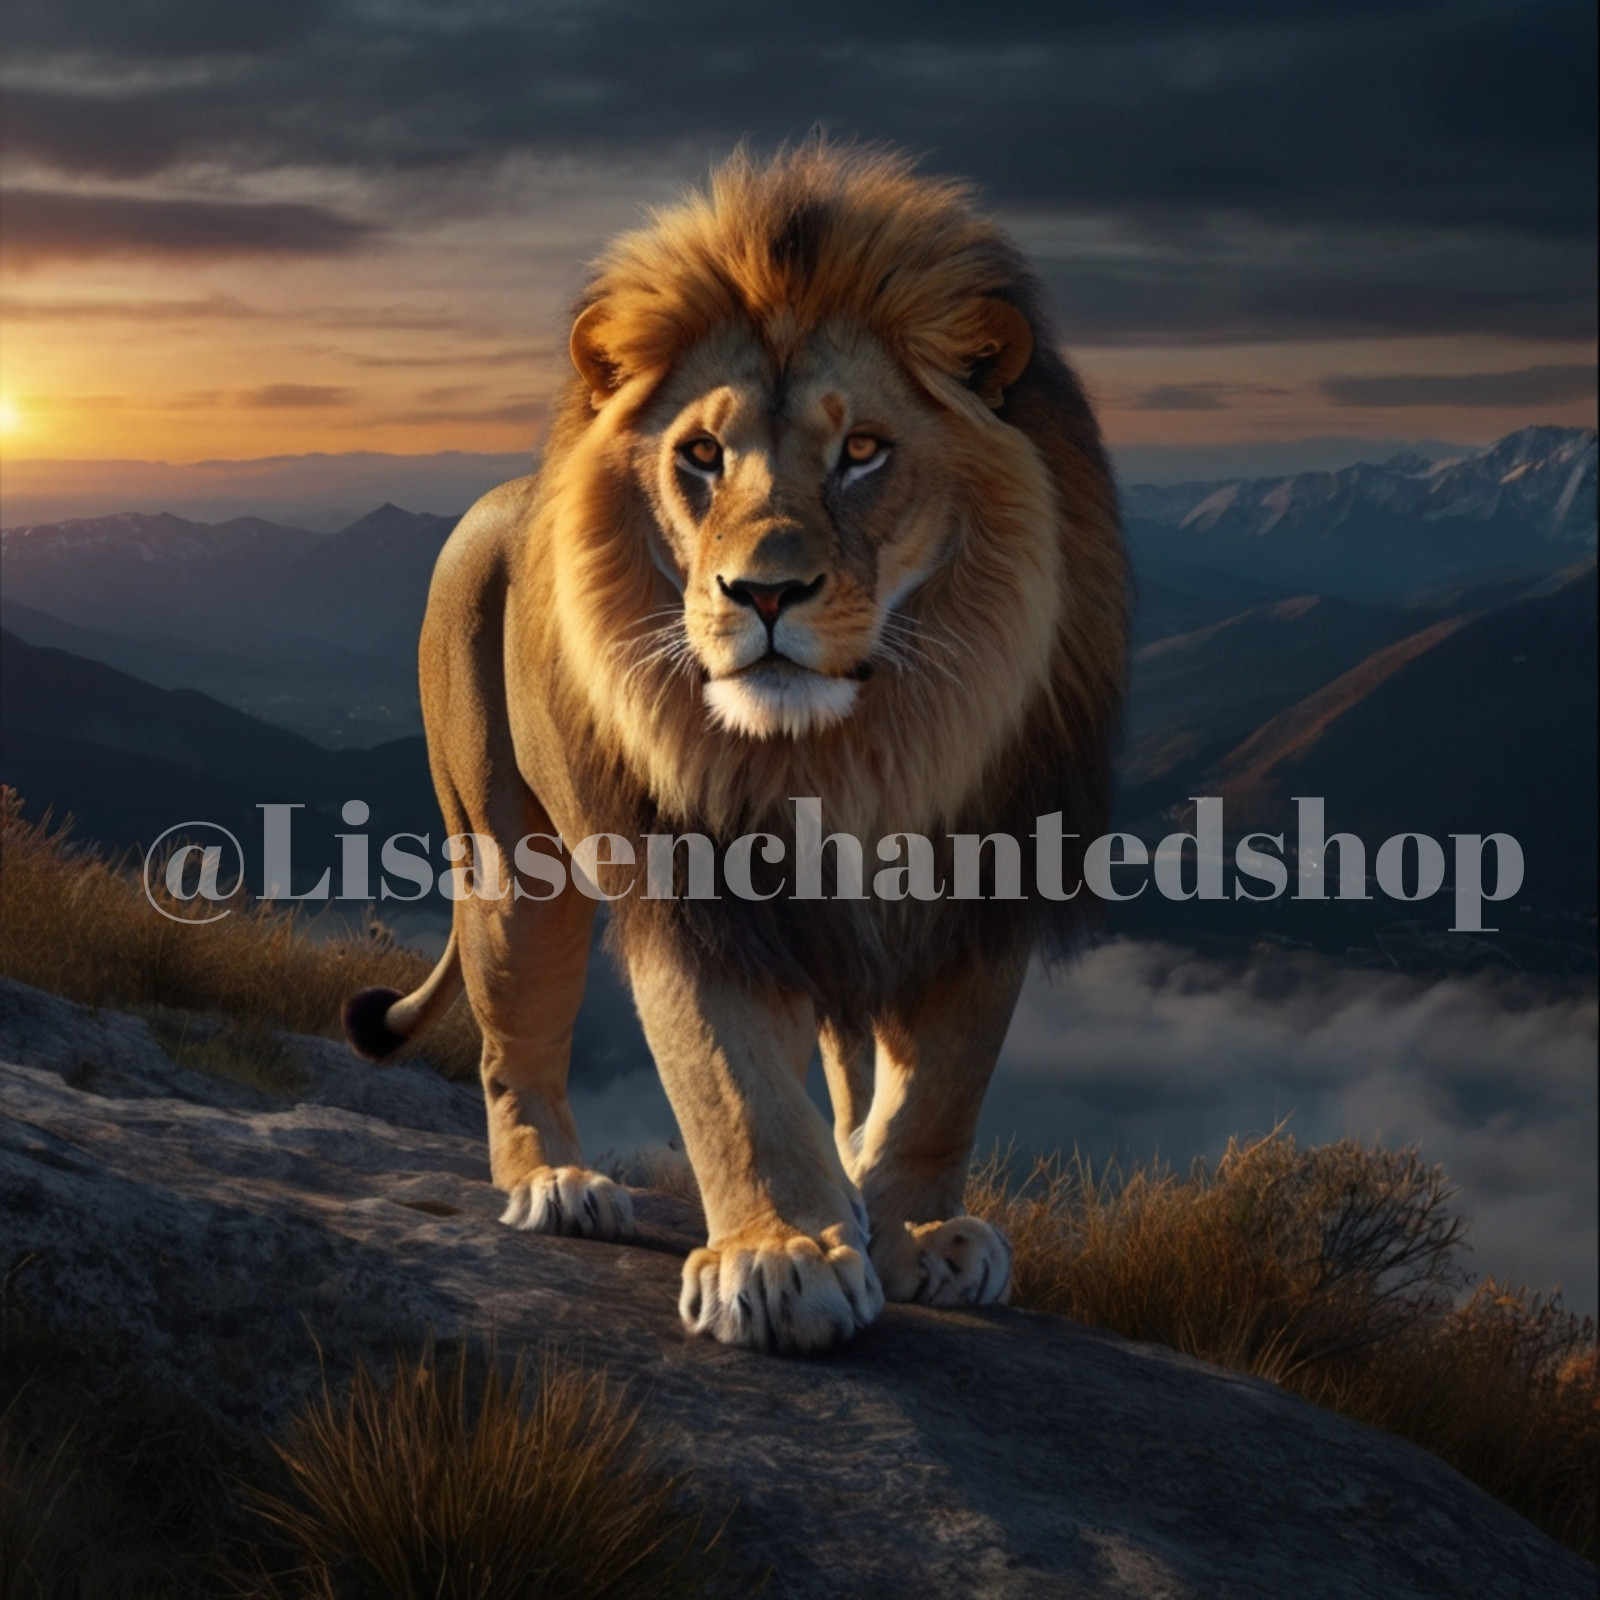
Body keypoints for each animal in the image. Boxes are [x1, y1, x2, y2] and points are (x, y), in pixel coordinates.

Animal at [343, 142, 1126, 1354]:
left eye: (863, 451)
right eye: (702, 455)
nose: (761, 591)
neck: (850, 752)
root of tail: (501, 498)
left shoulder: (988, 877)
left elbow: (939, 1088)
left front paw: (913, 1231)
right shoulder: (692, 882)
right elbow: (730, 1080)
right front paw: (781, 1254)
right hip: (509, 861)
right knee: (509, 1043)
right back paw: (559, 1185)